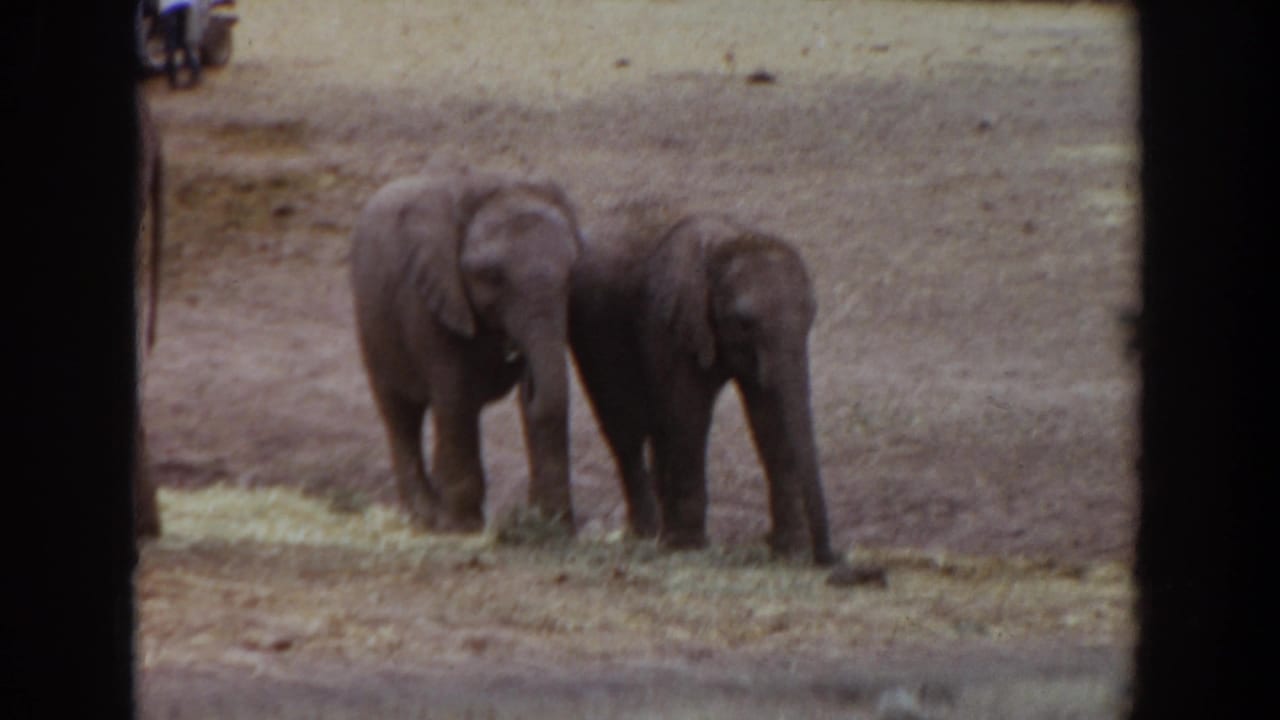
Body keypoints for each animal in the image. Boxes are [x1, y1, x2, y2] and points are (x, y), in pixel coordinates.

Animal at [351, 170, 583, 533]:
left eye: (572, 272)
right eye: (493, 276)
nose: (524, 374)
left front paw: (551, 528)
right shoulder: (430, 299)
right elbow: (456, 396)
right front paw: (463, 528)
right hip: (371, 323)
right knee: (401, 415)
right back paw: (424, 516)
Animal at [569, 210, 836, 565]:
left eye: (811, 315)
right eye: (744, 322)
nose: (829, 558)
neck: (730, 241)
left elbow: (770, 417)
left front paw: (790, 550)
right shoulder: (672, 322)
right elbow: (689, 411)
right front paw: (689, 546)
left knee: (656, 427)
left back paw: (662, 530)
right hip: (592, 332)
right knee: (624, 425)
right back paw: (648, 532)